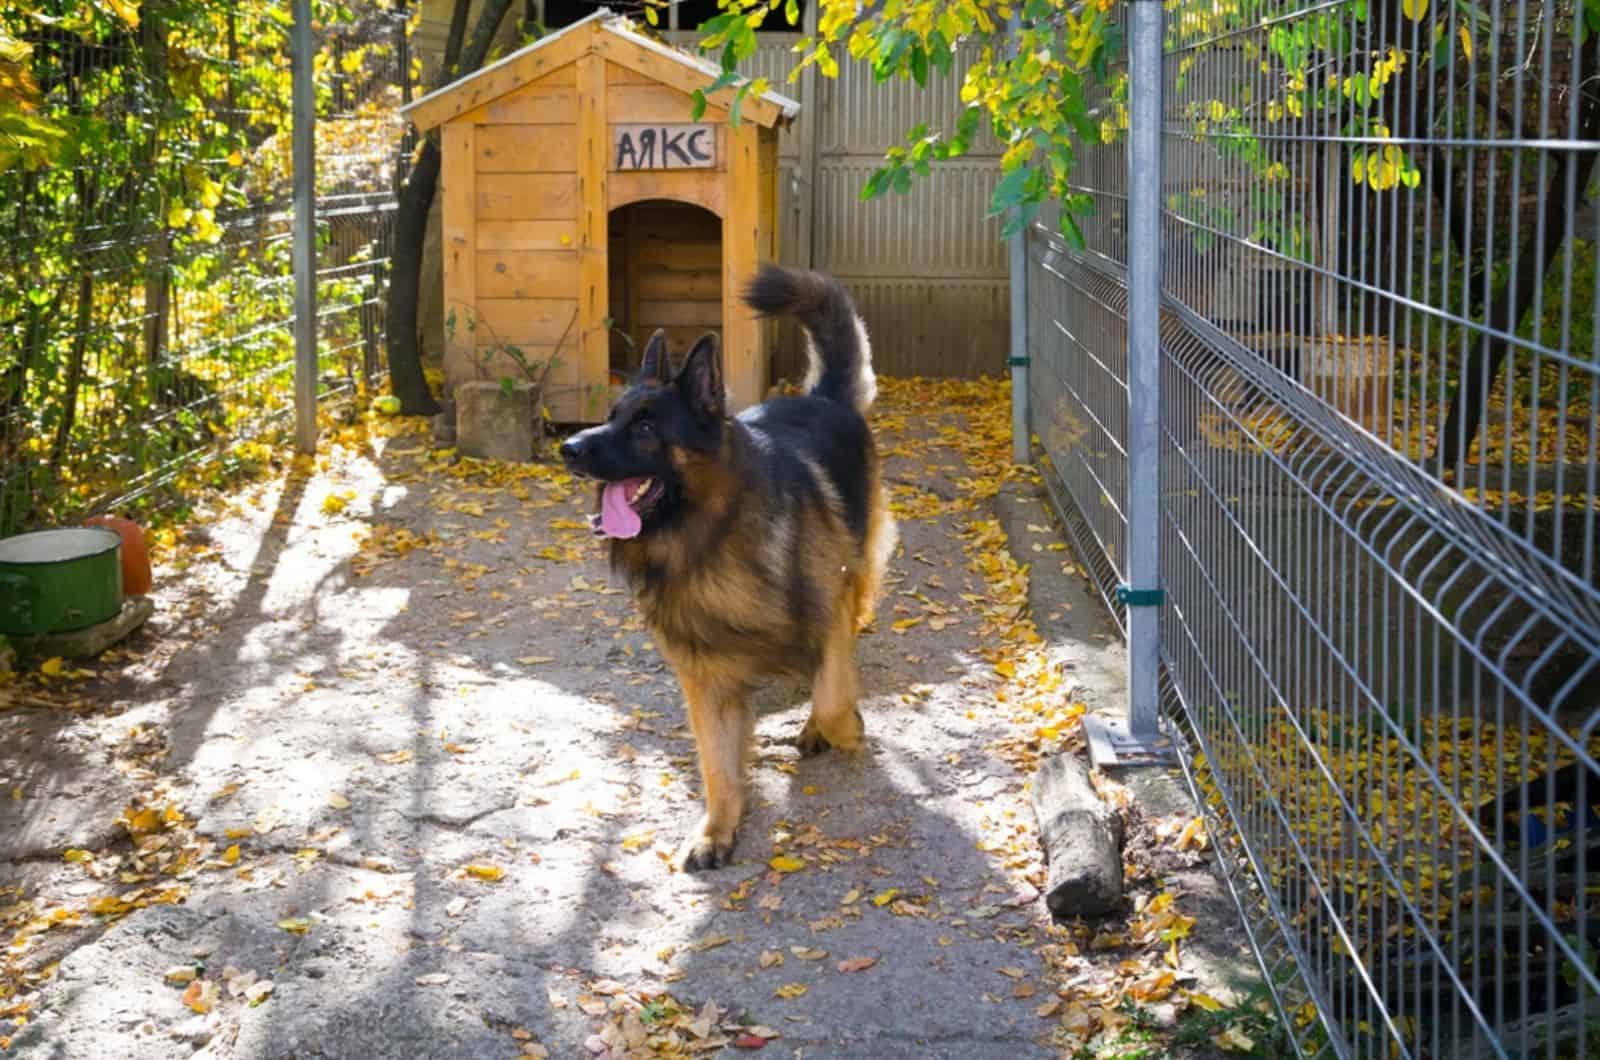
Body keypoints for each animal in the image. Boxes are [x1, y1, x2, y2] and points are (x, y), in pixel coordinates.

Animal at [556, 265, 896, 871]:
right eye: (610, 418)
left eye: (646, 429)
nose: (568, 447)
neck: (707, 542)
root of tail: (821, 398)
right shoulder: (705, 679)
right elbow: (717, 763)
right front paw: (717, 829)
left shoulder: (829, 614)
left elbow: (834, 697)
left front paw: (843, 730)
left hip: (858, 576)